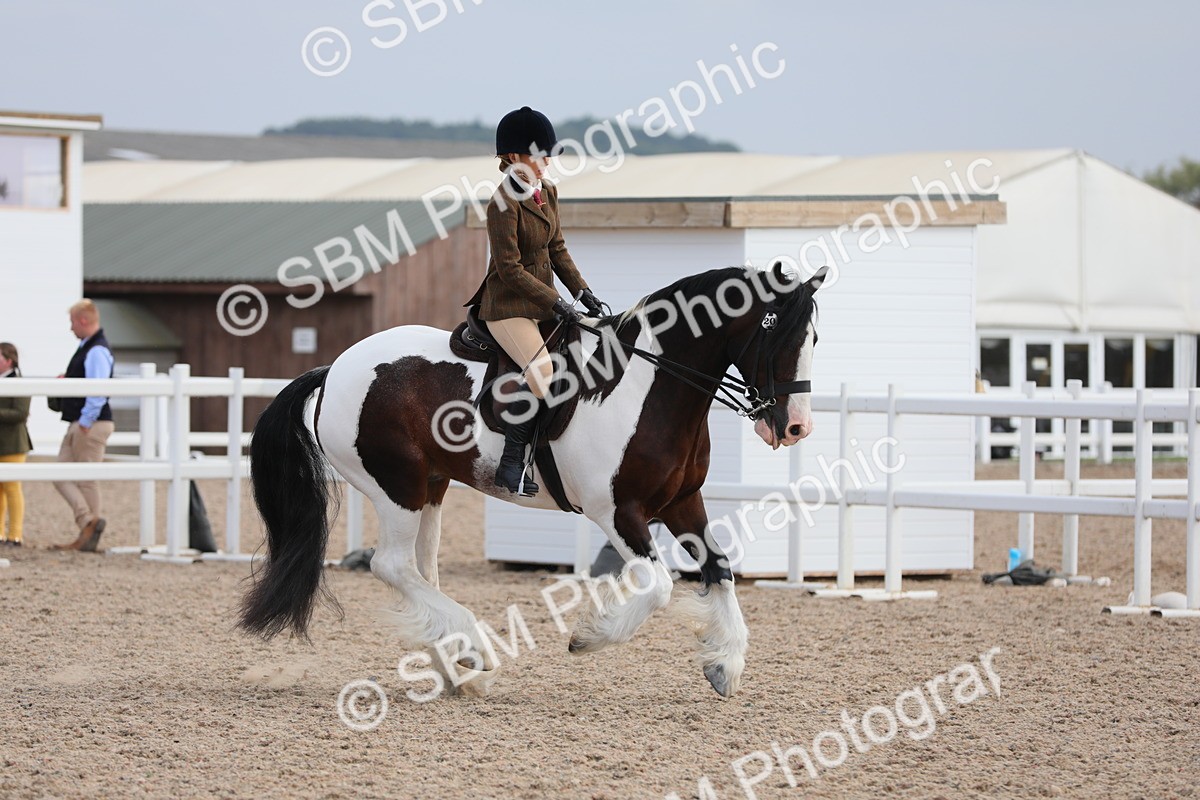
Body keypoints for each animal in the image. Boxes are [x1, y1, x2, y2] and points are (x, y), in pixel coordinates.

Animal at [238, 262, 827, 698]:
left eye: (814, 337)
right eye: (773, 331)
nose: (795, 427)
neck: (646, 385)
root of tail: (334, 369)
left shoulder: (682, 501)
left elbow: (719, 568)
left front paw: (725, 664)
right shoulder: (618, 512)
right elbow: (658, 585)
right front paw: (589, 638)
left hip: (432, 488)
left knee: (421, 574)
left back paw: (458, 670)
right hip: (395, 487)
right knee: (391, 566)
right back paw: (474, 649)